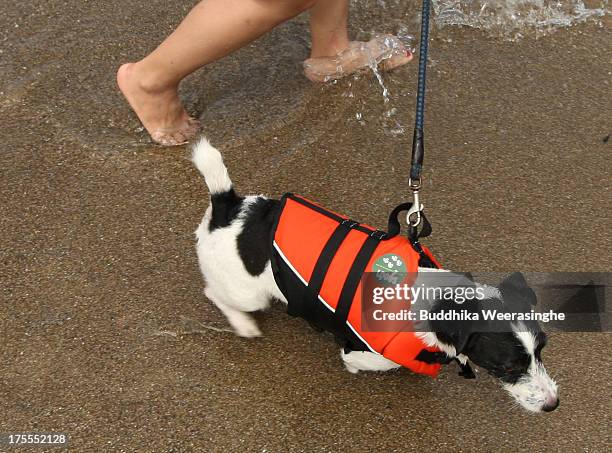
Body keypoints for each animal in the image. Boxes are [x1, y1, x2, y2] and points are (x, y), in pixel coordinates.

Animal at [192, 139, 560, 414]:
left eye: (541, 351)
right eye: (508, 367)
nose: (553, 405)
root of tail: (229, 207)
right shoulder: (363, 352)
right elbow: (370, 362)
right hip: (246, 292)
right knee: (214, 294)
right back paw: (243, 323)